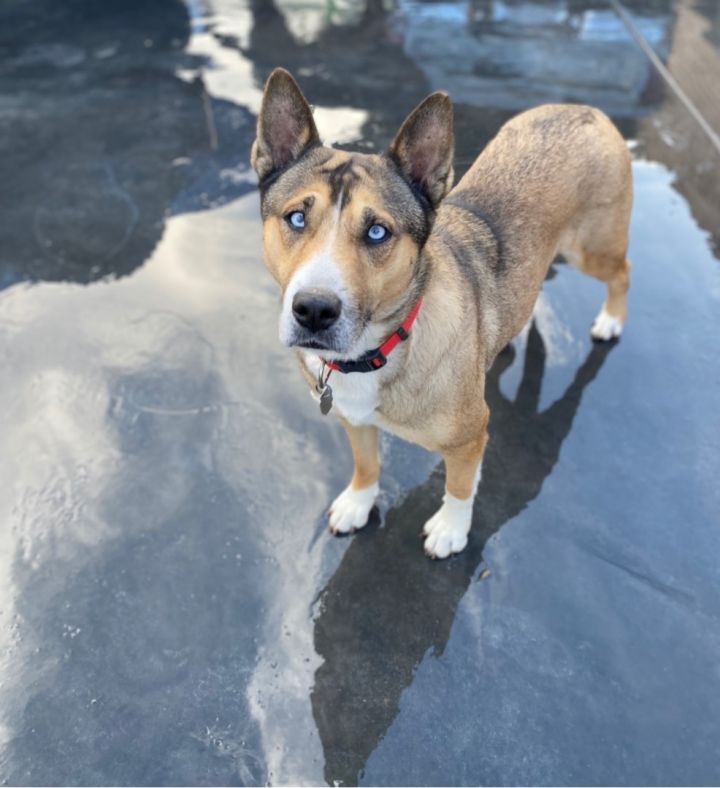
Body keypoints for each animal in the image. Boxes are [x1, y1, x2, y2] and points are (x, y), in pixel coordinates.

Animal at [252, 69, 632, 560]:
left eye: (378, 232)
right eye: (296, 218)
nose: (314, 310)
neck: (380, 350)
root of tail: (582, 108)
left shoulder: (470, 435)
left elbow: (460, 485)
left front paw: (452, 528)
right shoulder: (354, 419)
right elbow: (366, 463)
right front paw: (359, 501)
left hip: (592, 249)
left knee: (623, 272)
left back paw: (612, 319)